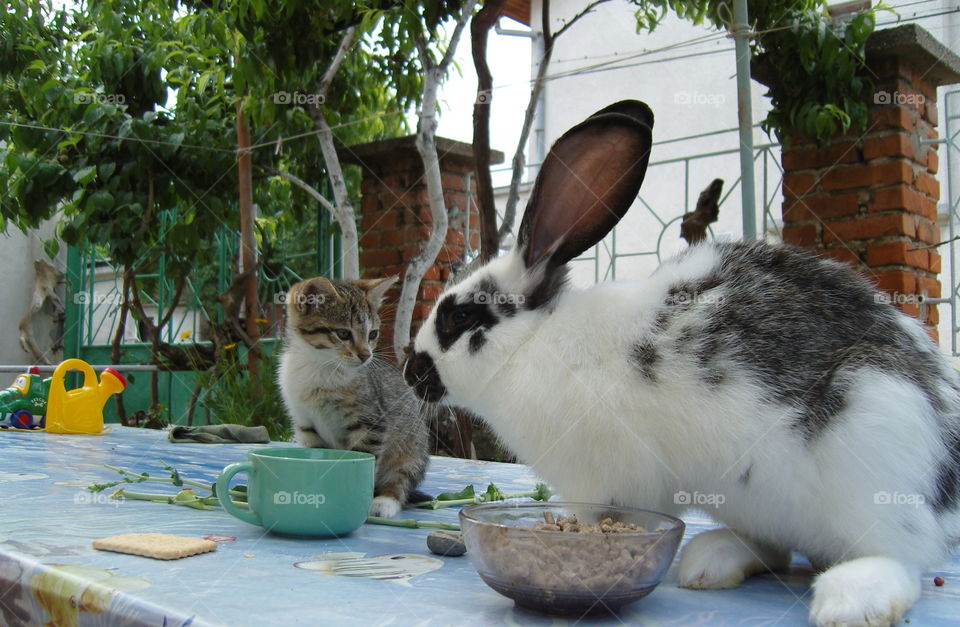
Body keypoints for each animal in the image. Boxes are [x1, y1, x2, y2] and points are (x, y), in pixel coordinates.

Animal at [276, 278, 430, 516]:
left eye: (373, 334)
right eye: (343, 334)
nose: (366, 355)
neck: (321, 366)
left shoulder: (371, 422)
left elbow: (365, 459)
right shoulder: (306, 425)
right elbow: (316, 459)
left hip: (412, 448)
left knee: (402, 477)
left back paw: (385, 501)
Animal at [404, 100, 960, 624]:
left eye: (457, 317)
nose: (412, 373)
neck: (533, 341)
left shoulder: (595, 482)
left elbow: (593, 516)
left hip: (873, 459)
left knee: (899, 556)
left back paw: (849, 602)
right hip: (751, 499)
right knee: (776, 551)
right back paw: (711, 562)